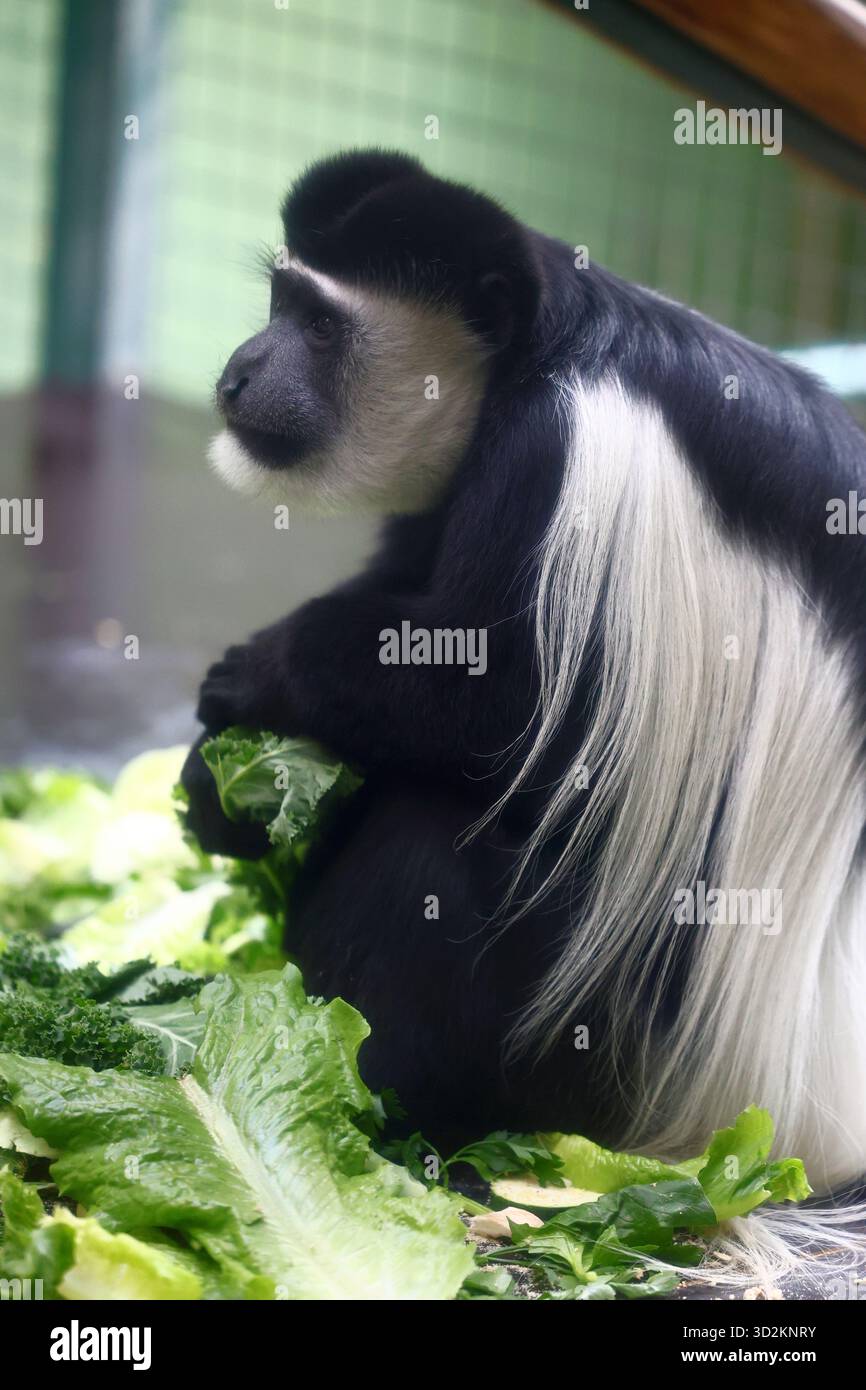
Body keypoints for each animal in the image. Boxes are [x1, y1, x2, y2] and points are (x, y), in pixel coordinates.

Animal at [182, 151, 866, 1230]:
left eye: (323, 328)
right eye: (280, 300)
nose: (238, 372)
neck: (537, 355)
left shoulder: (559, 460)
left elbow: (494, 702)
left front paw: (258, 677)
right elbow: (409, 595)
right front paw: (216, 786)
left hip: (613, 1039)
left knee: (433, 841)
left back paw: (384, 1110)